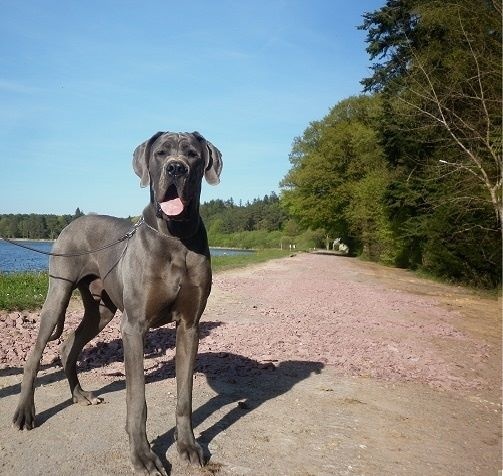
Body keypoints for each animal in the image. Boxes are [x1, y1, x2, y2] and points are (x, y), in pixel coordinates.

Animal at [11, 131, 223, 476]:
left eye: (192, 154)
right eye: (161, 153)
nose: (176, 168)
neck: (174, 236)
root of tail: (72, 222)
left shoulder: (189, 326)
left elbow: (185, 397)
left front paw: (188, 447)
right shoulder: (134, 327)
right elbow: (137, 400)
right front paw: (143, 456)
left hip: (102, 310)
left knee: (68, 345)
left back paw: (80, 394)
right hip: (59, 293)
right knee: (37, 353)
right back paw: (25, 413)